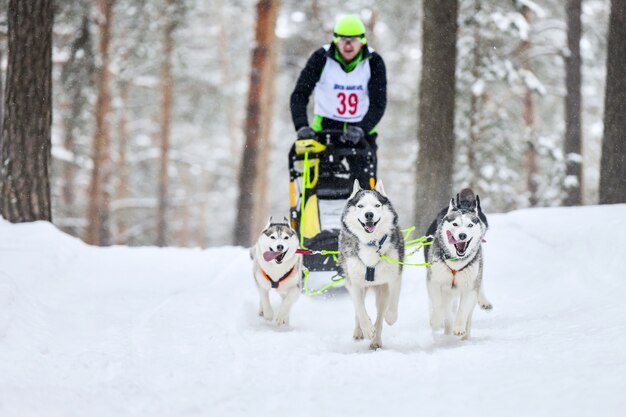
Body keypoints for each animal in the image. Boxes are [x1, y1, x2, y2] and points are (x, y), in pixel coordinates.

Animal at [338, 180, 402, 350]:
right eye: (360, 206)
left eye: (377, 205)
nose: (369, 214)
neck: (371, 243)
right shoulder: (354, 282)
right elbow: (360, 309)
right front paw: (366, 328)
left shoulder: (394, 278)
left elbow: (393, 303)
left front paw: (390, 317)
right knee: (358, 309)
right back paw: (360, 331)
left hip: (381, 290)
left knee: (380, 315)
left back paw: (376, 341)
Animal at [424, 188, 492, 338]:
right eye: (455, 224)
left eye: (470, 225)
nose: (462, 235)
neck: (455, 262)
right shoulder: (435, 282)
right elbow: (439, 305)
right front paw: (436, 322)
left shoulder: (470, 286)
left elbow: (463, 309)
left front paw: (460, 327)